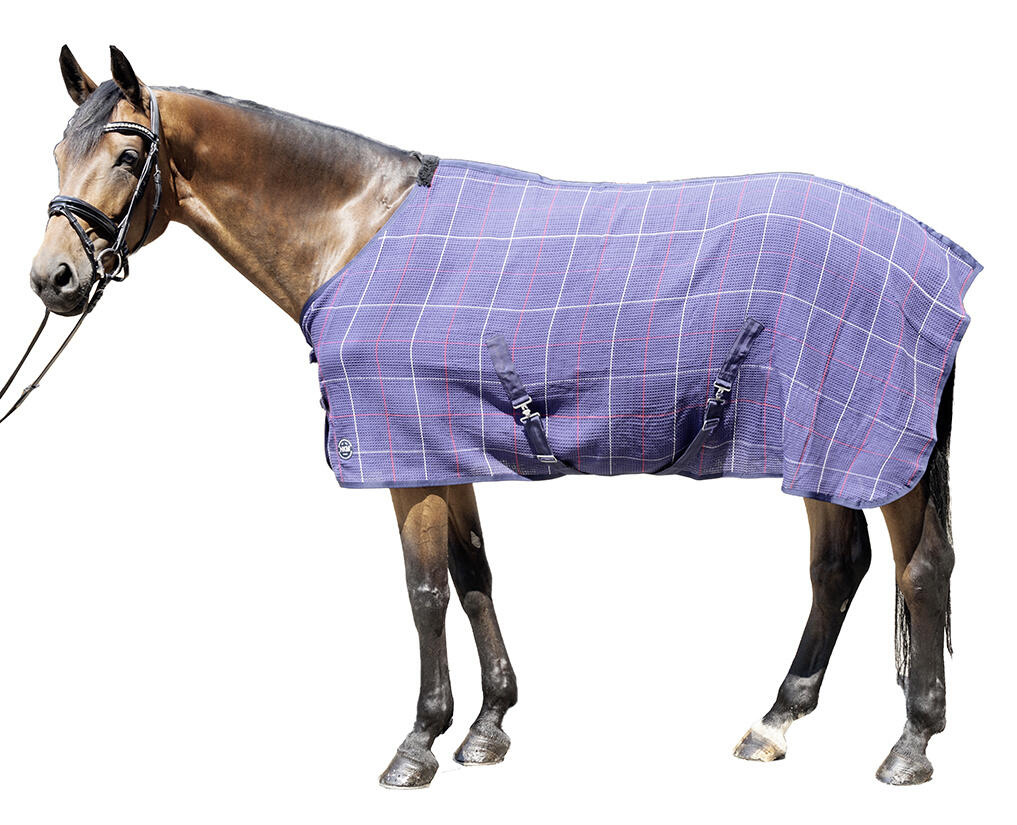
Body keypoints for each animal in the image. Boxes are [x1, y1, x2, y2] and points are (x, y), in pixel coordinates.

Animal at [19, 45, 976, 788]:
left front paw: (416, 742)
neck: (355, 232)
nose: (52, 278)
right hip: (821, 443)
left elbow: (424, 592)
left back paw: (909, 744)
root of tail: (934, 256)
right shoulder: (449, 448)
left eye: (127, 153)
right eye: (58, 151)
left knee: (919, 569)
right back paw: (774, 721)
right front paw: (487, 727)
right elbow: (474, 575)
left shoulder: (403, 457)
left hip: (864, 444)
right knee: (840, 568)